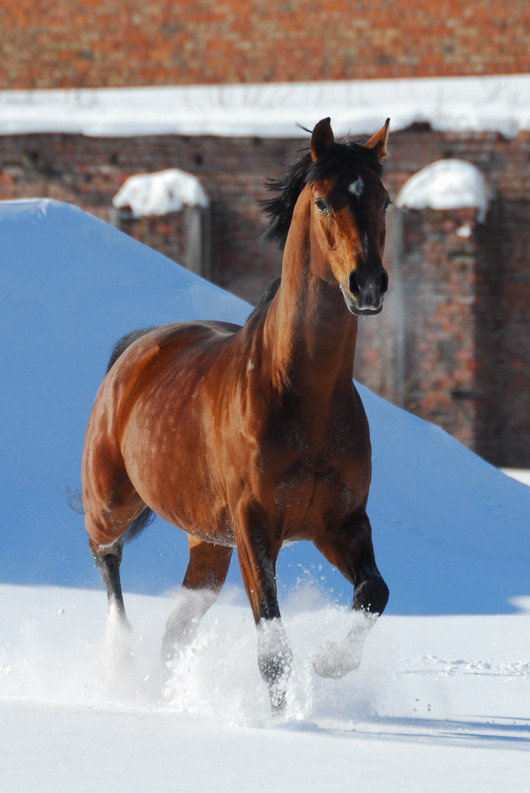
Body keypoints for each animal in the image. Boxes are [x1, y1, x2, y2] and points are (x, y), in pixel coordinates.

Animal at [81, 116, 388, 712]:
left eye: (383, 200)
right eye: (323, 201)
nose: (367, 285)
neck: (306, 401)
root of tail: (136, 348)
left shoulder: (339, 523)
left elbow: (373, 593)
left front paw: (330, 663)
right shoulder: (254, 526)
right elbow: (272, 644)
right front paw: (283, 718)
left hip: (207, 546)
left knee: (175, 633)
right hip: (111, 501)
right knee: (106, 556)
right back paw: (119, 658)